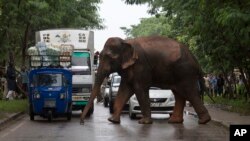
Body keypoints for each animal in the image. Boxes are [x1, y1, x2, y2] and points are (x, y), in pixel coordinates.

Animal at [80, 36, 211, 124]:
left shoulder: (141, 66)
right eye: (100, 56)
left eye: (110, 57)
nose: (82, 122)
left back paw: (204, 121)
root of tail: (195, 58)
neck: (126, 41)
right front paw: (112, 120)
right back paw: (174, 121)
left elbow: (140, 89)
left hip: (185, 72)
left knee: (190, 92)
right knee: (179, 94)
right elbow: (124, 90)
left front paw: (144, 122)